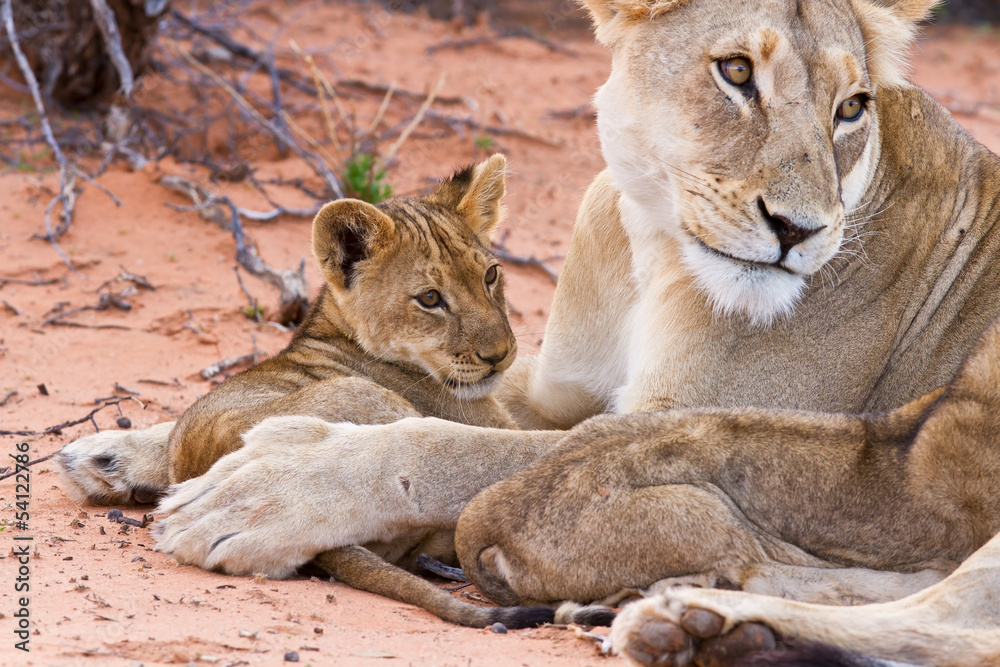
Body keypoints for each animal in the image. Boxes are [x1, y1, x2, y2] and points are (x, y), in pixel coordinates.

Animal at [59, 0, 1000, 662]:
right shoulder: (551, 388)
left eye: (853, 107)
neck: (652, 239)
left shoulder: (651, 420)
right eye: (735, 72)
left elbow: (454, 446)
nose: (800, 230)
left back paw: (697, 614)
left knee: (943, 617)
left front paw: (269, 484)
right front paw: (119, 449)